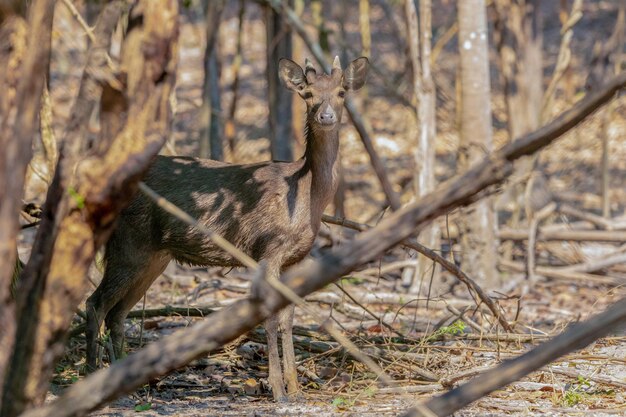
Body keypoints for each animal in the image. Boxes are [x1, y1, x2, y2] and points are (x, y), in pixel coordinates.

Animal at [83, 55, 366, 400]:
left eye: (341, 92)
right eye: (308, 93)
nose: (325, 115)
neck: (306, 198)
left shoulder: (295, 258)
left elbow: (287, 318)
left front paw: (296, 387)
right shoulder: (267, 248)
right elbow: (270, 318)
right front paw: (277, 389)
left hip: (153, 256)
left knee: (118, 312)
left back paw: (124, 383)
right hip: (128, 245)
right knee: (95, 303)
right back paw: (92, 375)